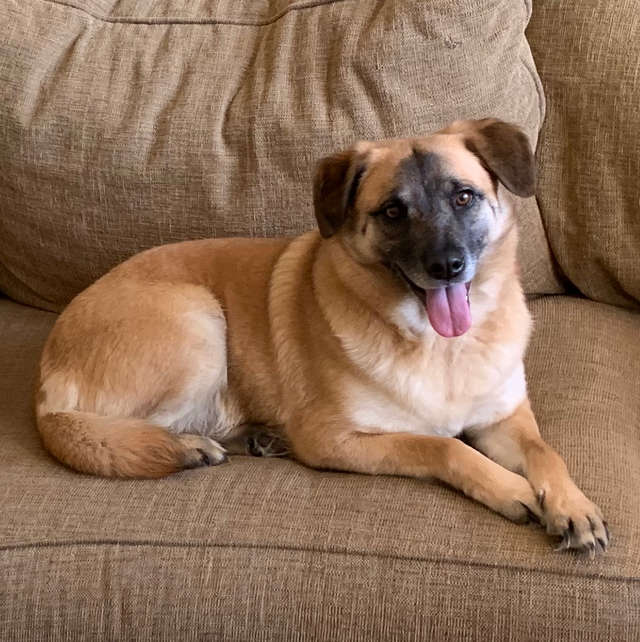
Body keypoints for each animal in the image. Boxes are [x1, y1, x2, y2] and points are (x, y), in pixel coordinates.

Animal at [35, 119, 608, 554]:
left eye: (464, 197)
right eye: (393, 211)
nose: (447, 266)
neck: (439, 346)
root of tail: (45, 394)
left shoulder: (504, 420)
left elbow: (546, 452)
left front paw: (572, 505)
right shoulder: (338, 439)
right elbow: (442, 447)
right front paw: (510, 488)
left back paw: (257, 438)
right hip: (197, 323)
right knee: (128, 431)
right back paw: (192, 445)